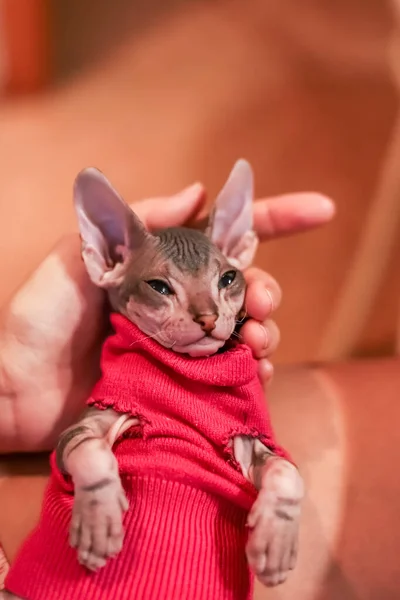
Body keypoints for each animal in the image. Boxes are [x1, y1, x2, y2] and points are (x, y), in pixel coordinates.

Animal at [1, 159, 304, 600]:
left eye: (228, 279)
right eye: (159, 287)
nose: (208, 318)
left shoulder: (246, 442)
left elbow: (288, 473)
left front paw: (275, 543)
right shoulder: (91, 420)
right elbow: (93, 451)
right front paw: (99, 521)